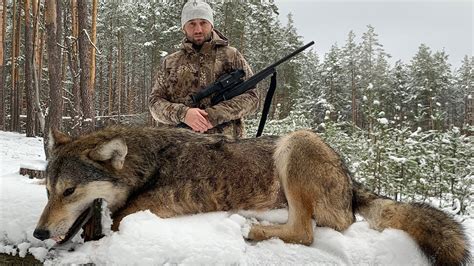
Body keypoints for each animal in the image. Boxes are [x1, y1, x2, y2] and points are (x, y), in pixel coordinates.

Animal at [34, 125, 470, 264]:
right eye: (48, 190)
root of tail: (350, 177)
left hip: (296, 143)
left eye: (70, 191)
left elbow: (118, 221)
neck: (148, 165)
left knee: (308, 231)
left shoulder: (144, 212)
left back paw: (253, 228)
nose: (38, 233)